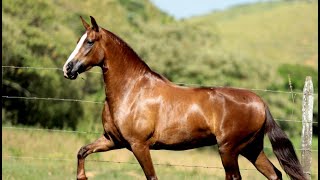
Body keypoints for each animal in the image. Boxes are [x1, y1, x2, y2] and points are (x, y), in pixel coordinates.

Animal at [62, 16, 304, 179]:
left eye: (90, 42)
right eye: (78, 41)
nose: (67, 69)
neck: (132, 91)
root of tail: (260, 102)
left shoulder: (139, 145)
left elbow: (152, 177)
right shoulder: (113, 140)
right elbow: (82, 151)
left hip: (229, 149)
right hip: (251, 148)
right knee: (274, 174)